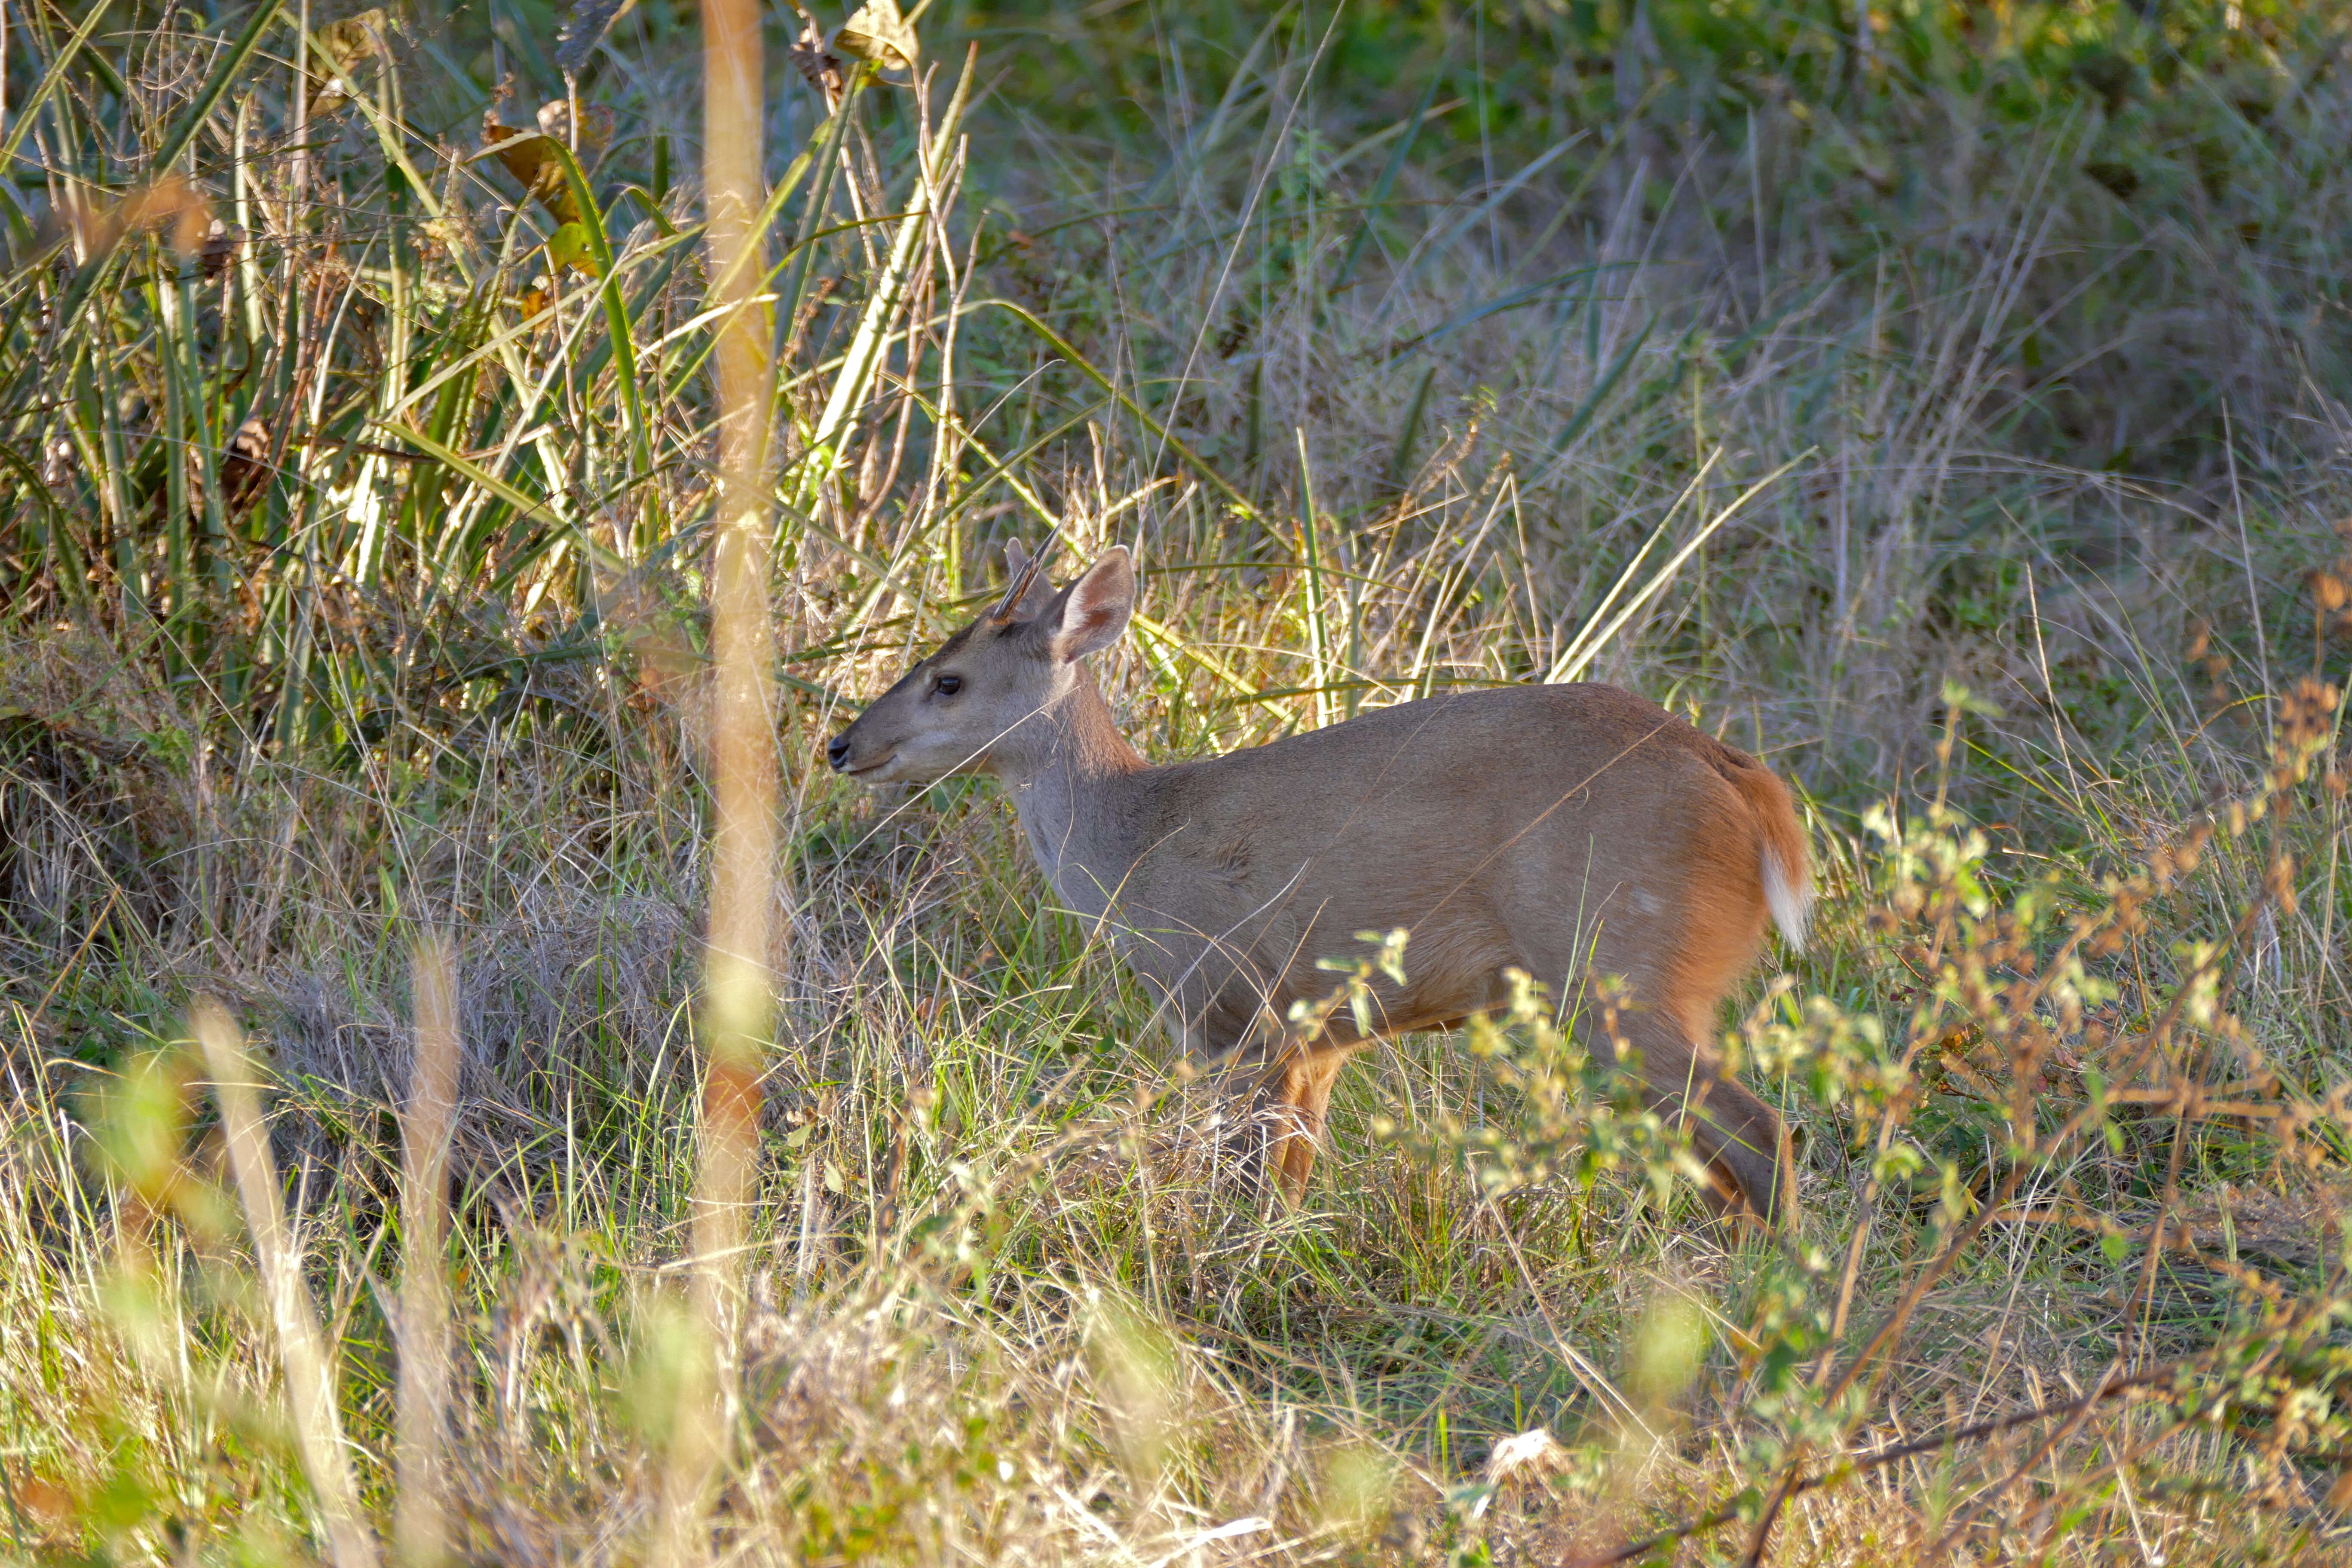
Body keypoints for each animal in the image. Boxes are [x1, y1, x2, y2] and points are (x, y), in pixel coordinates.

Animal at [833, 545, 1816, 1222]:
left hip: (1621, 965)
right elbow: (1290, 1181)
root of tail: (1743, 783)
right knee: (1720, 1162)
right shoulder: (1316, 1036)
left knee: (1760, 1134)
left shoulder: (1226, 1007)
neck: (1133, 839)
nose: (842, 744)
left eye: (948, 681)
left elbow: (1243, 1178)